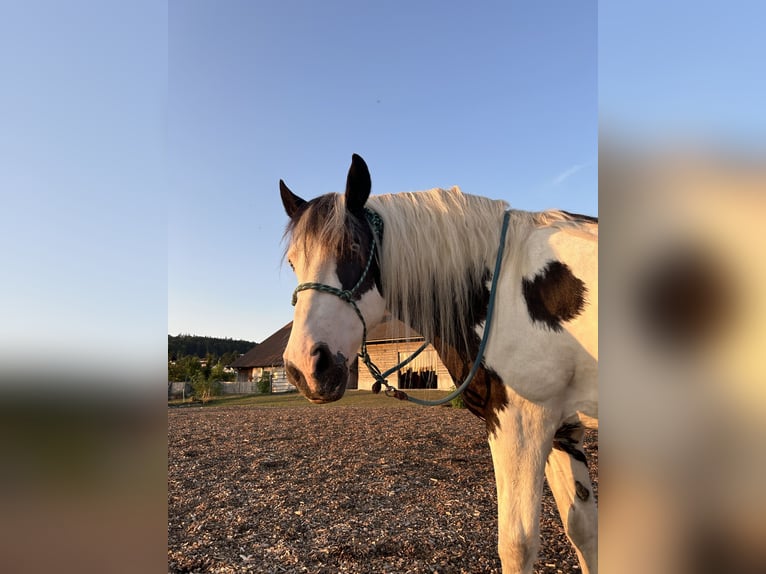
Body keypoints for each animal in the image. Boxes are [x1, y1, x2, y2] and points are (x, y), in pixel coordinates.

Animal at [278, 154, 600, 574]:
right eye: (292, 262)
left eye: (352, 246)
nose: (305, 366)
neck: (501, 285)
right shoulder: (563, 427)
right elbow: (583, 530)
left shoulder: (522, 423)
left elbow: (517, 545)